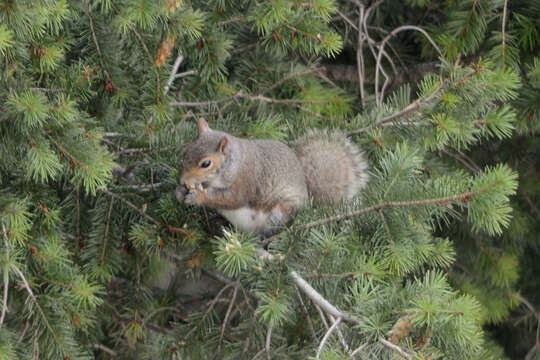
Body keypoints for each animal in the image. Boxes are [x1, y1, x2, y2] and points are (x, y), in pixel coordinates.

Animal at [175, 118, 370, 236]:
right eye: (185, 152)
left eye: (206, 164)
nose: (182, 181)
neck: (233, 164)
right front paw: (179, 192)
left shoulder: (246, 181)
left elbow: (232, 199)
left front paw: (198, 196)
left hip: (282, 210)